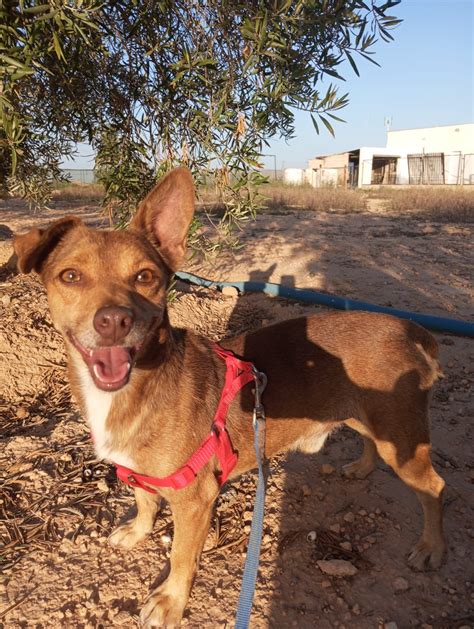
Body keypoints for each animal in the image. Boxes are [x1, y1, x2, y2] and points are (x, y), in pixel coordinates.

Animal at [13, 167, 444, 624]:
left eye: (145, 277)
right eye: (70, 276)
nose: (113, 321)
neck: (137, 389)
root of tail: (409, 328)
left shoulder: (194, 501)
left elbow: (181, 556)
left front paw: (171, 601)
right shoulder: (140, 474)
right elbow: (144, 501)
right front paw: (139, 531)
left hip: (403, 440)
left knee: (434, 487)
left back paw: (431, 547)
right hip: (369, 418)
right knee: (368, 439)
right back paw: (361, 468)